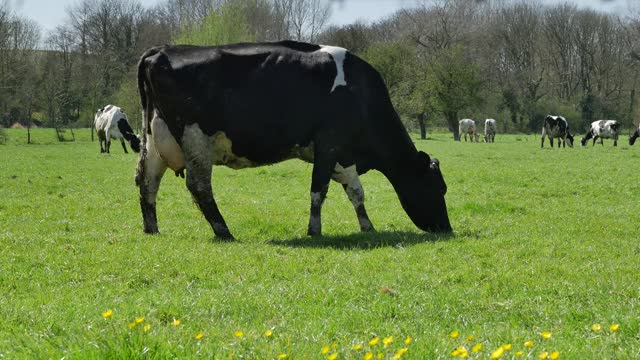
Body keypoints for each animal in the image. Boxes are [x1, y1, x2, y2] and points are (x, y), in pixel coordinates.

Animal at [135, 40, 452, 239]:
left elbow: (356, 192)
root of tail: (162, 50)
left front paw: (367, 227)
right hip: (196, 140)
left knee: (147, 181)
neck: (360, 94)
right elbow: (318, 190)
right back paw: (224, 232)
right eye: (439, 188)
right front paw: (315, 231)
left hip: (154, 141)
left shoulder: (344, 155)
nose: (446, 228)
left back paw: (152, 229)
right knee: (199, 187)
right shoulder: (328, 145)